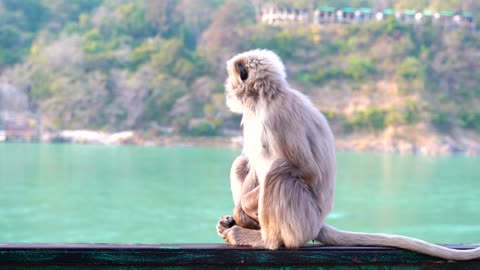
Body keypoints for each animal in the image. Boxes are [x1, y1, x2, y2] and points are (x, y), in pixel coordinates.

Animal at [217, 49, 480, 260]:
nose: (226, 88)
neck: (264, 99)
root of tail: (318, 224)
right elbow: (252, 164)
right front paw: (239, 213)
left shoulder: (277, 115)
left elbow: (306, 170)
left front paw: (242, 211)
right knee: (243, 163)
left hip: (301, 220)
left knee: (278, 172)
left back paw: (265, 239)